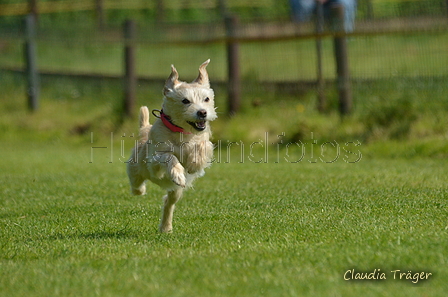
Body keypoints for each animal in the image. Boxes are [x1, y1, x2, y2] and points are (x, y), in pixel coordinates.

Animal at [126, 59, 217, 231]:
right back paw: (140, 190)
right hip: (136, 171)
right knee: (136, 185)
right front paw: (178, 174)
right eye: (185, 101)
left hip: (176, 192)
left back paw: (166, 227)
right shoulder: (154, 163)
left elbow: (203, 144)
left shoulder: (203, 140)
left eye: (206, 99)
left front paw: (194, 163)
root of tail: (144, 130)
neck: (181, 132)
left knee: (169, 202)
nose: (202, 112)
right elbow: (169, 156)